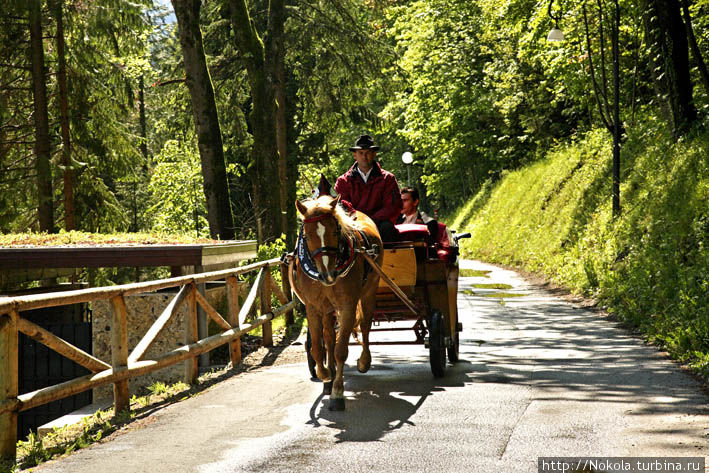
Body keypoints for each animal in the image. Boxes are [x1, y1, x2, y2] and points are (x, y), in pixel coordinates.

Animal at [290, 195, 382, 410]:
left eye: (334, 230)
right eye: (307, 236)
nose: (328, 275)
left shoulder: (348, 305)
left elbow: (341, 350)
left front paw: (338, 392)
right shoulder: (313, 307)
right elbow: (318, 347)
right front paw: (325, 375)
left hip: (369, 292)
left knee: (365, 326)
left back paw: (364, 362)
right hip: (327, 309)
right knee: (329, 337)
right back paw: (329, 376)